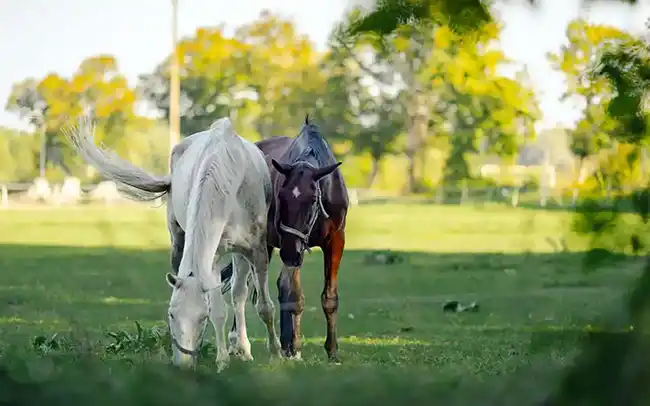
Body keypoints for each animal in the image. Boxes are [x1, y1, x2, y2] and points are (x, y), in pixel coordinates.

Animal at [64, 116, 280, 370]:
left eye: (201, 318)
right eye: (171, 315)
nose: (183, 364)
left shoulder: (257, 249)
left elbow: (264, 306)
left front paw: (277, 353)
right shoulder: (213, 257)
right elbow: (219, 310)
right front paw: (222, 361)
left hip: (241, 254)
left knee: (239, 293)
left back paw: (245, 350)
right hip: (179, 239)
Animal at [219, 116, 350, 364]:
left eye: (312, 199)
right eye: (280, 196)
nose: (290, 254)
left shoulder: (335, 240)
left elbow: (329, 297)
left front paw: (332, 351)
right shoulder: (288, 243)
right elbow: (294, 295)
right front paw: (295, 348)